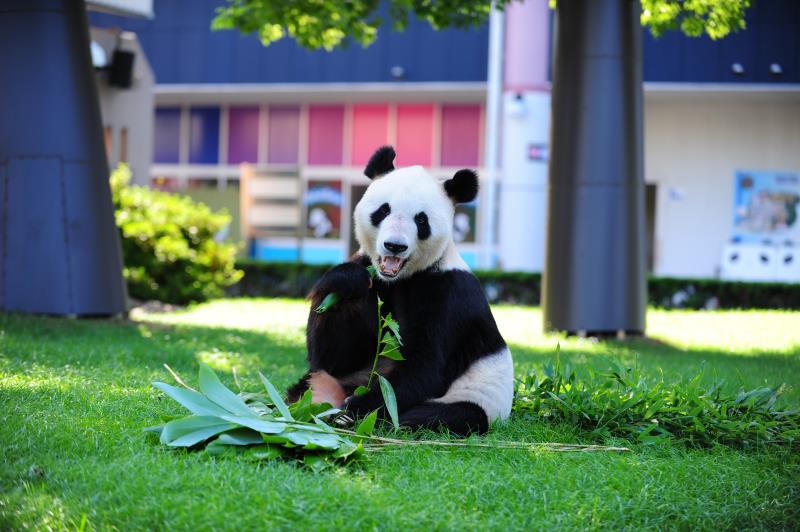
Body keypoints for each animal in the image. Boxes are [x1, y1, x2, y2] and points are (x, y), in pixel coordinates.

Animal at [286, 146, 513, 436]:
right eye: (383, 210)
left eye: (421, 220)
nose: (395, 246)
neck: (400, 279)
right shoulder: (372, 277)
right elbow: (332, 357)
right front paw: (347, 281)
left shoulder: (448, 294)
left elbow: (425, 367)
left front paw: (358, 408)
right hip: (331, 382)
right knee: (309, 383)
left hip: (476, 399)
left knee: (440, 416)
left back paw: (349, 415)